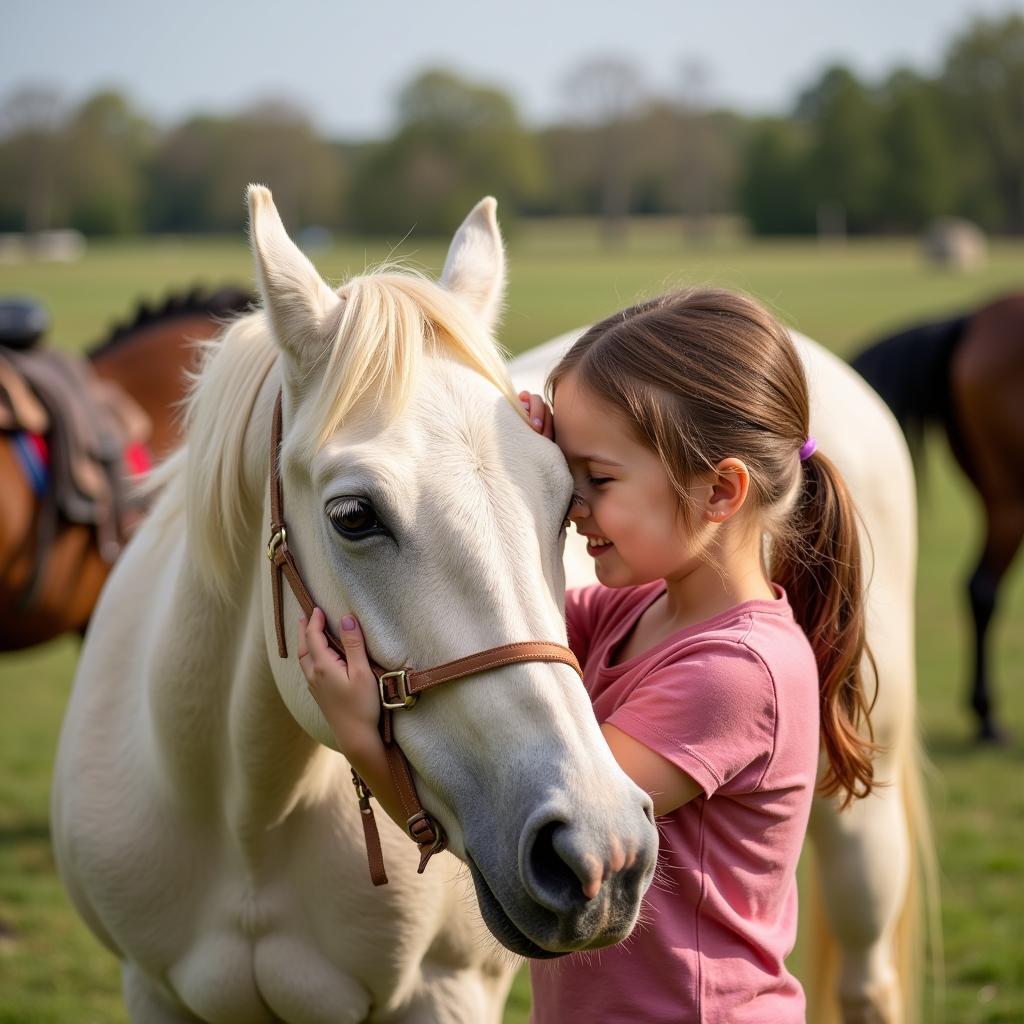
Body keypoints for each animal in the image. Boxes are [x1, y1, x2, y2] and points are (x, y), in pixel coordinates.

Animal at [49, 186, 655, 1024]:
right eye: (354, 516)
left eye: (568, 502)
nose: (600, 846)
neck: (247, 816)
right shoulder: (152, 990)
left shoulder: (446, 991)